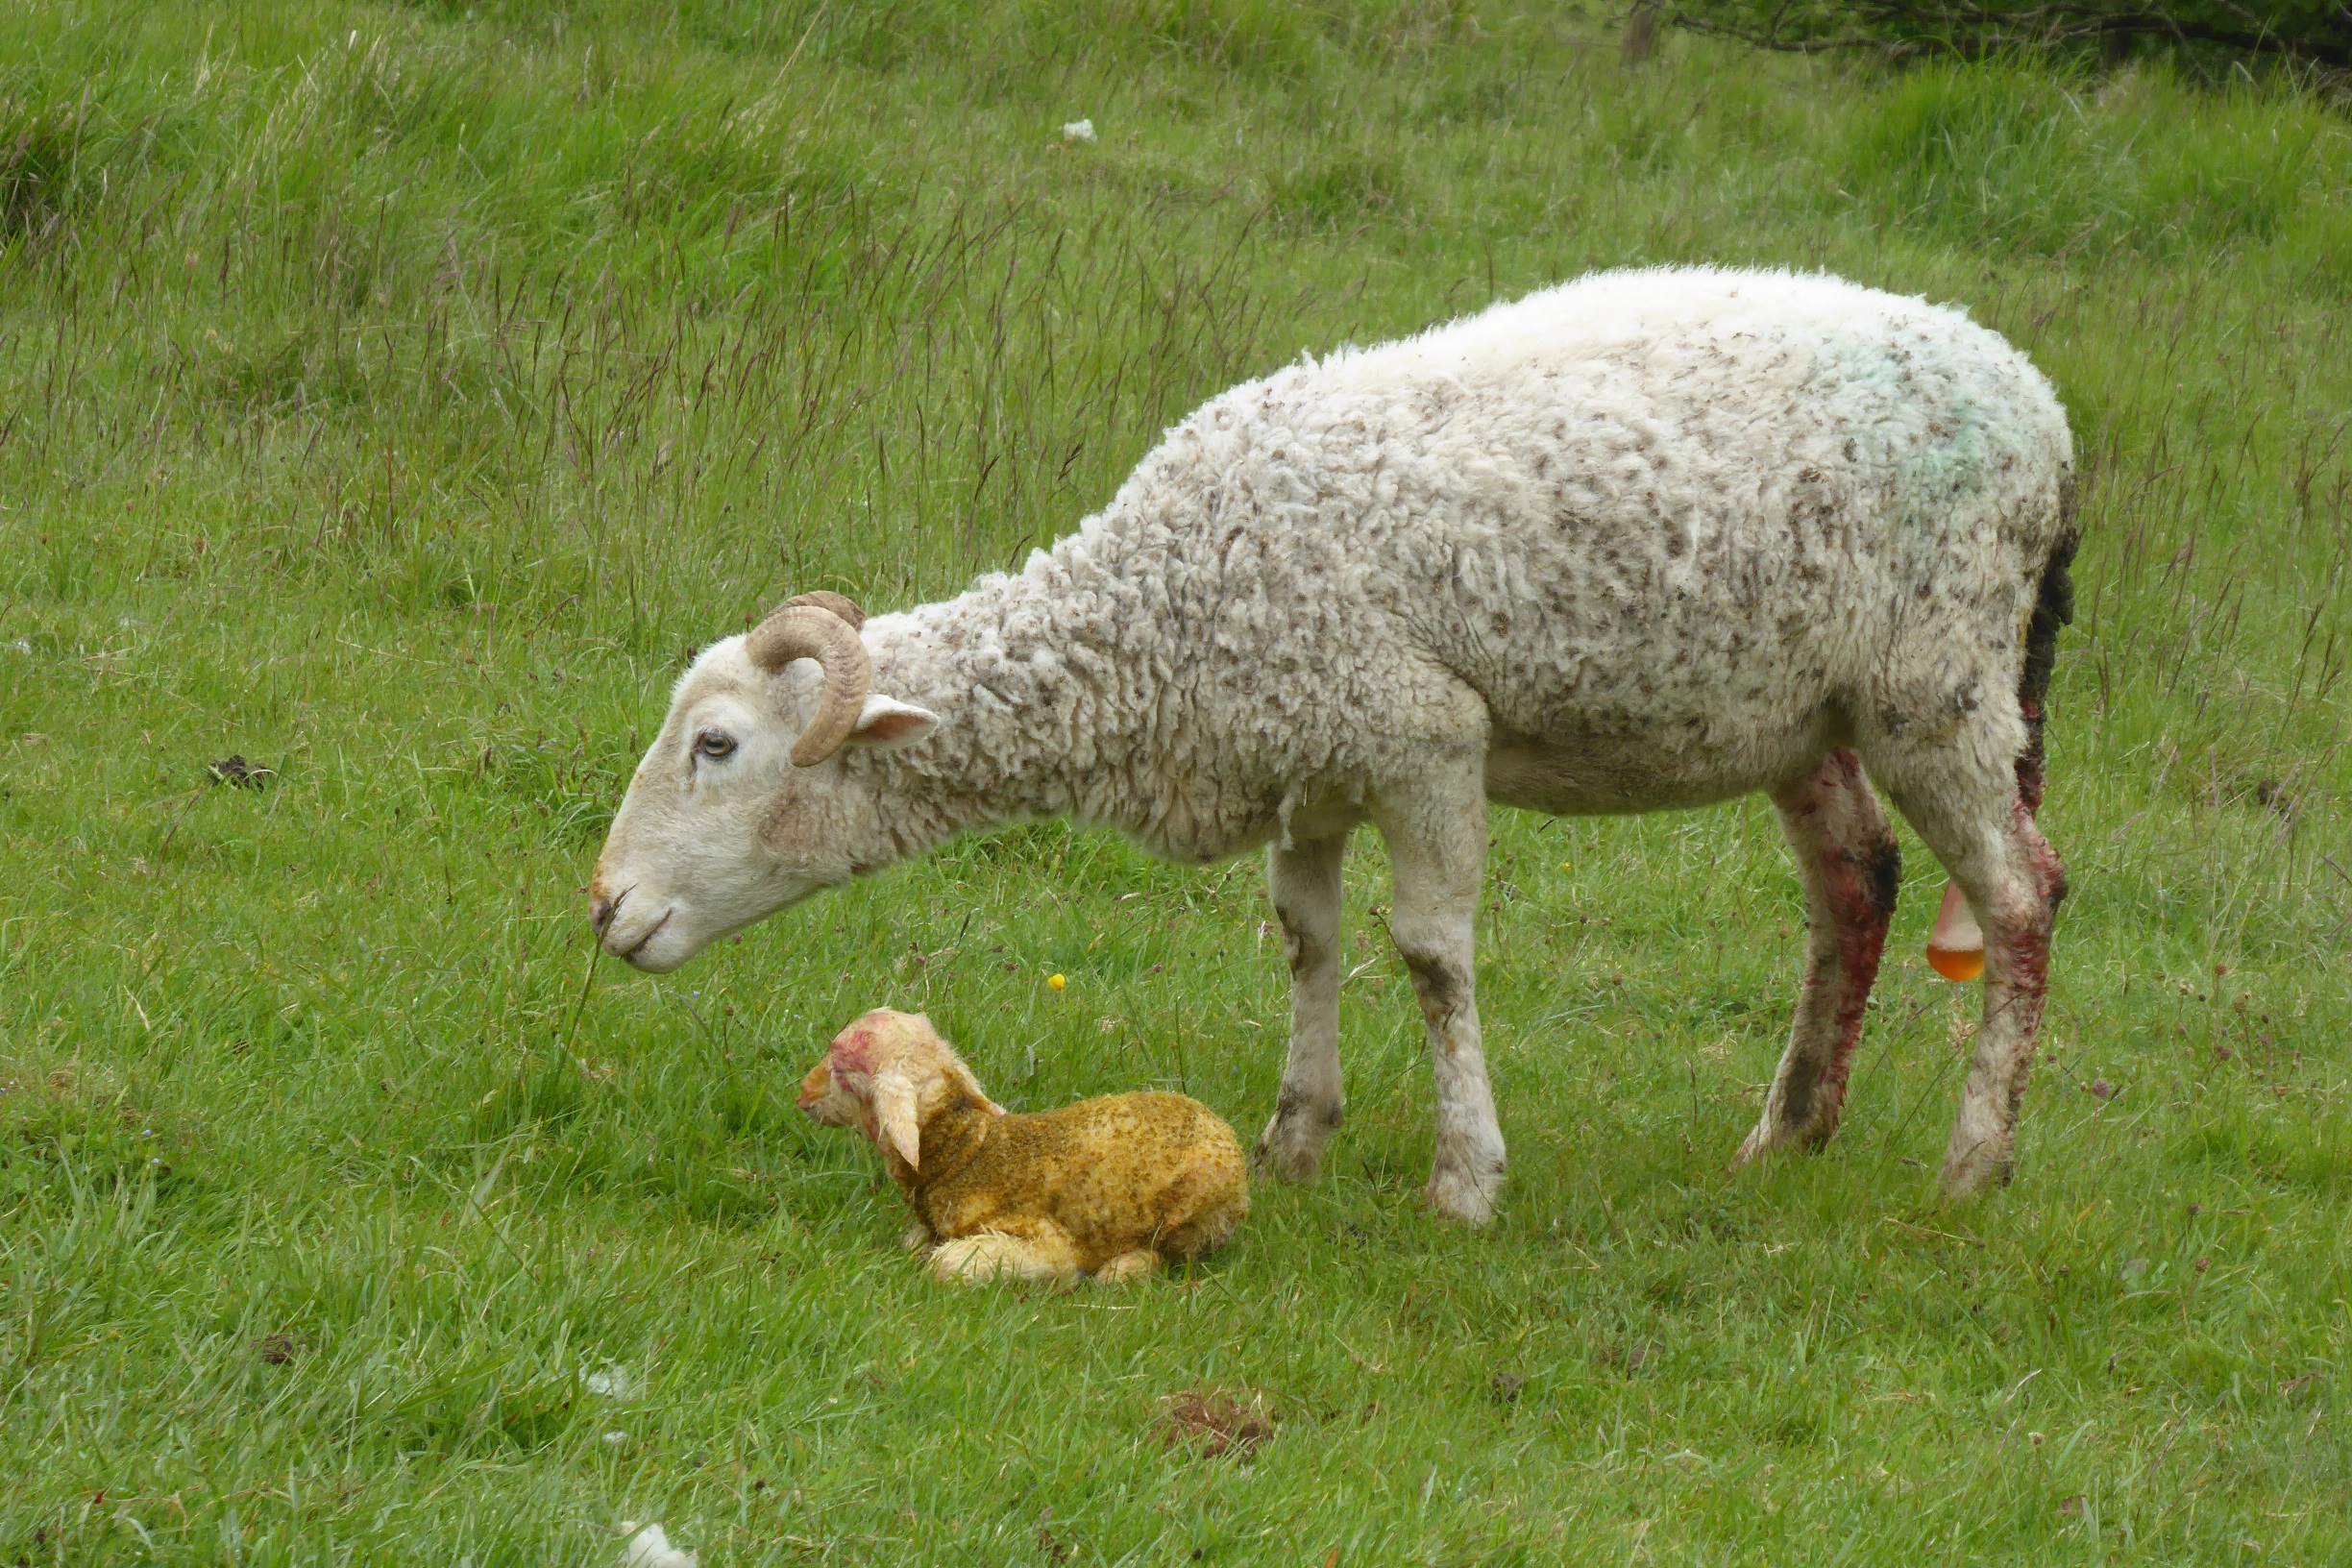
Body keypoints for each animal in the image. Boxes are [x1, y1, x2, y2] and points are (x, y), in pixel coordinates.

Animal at [799, 1006, 1251, 1287]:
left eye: (841, 1071)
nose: (801, 1094)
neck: (966, 1151)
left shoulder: (1044, 1239)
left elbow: (945, 1263)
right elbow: (914, 1242)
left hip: (1190, 1205)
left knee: (1175, 1254)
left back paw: (1123, 1269)